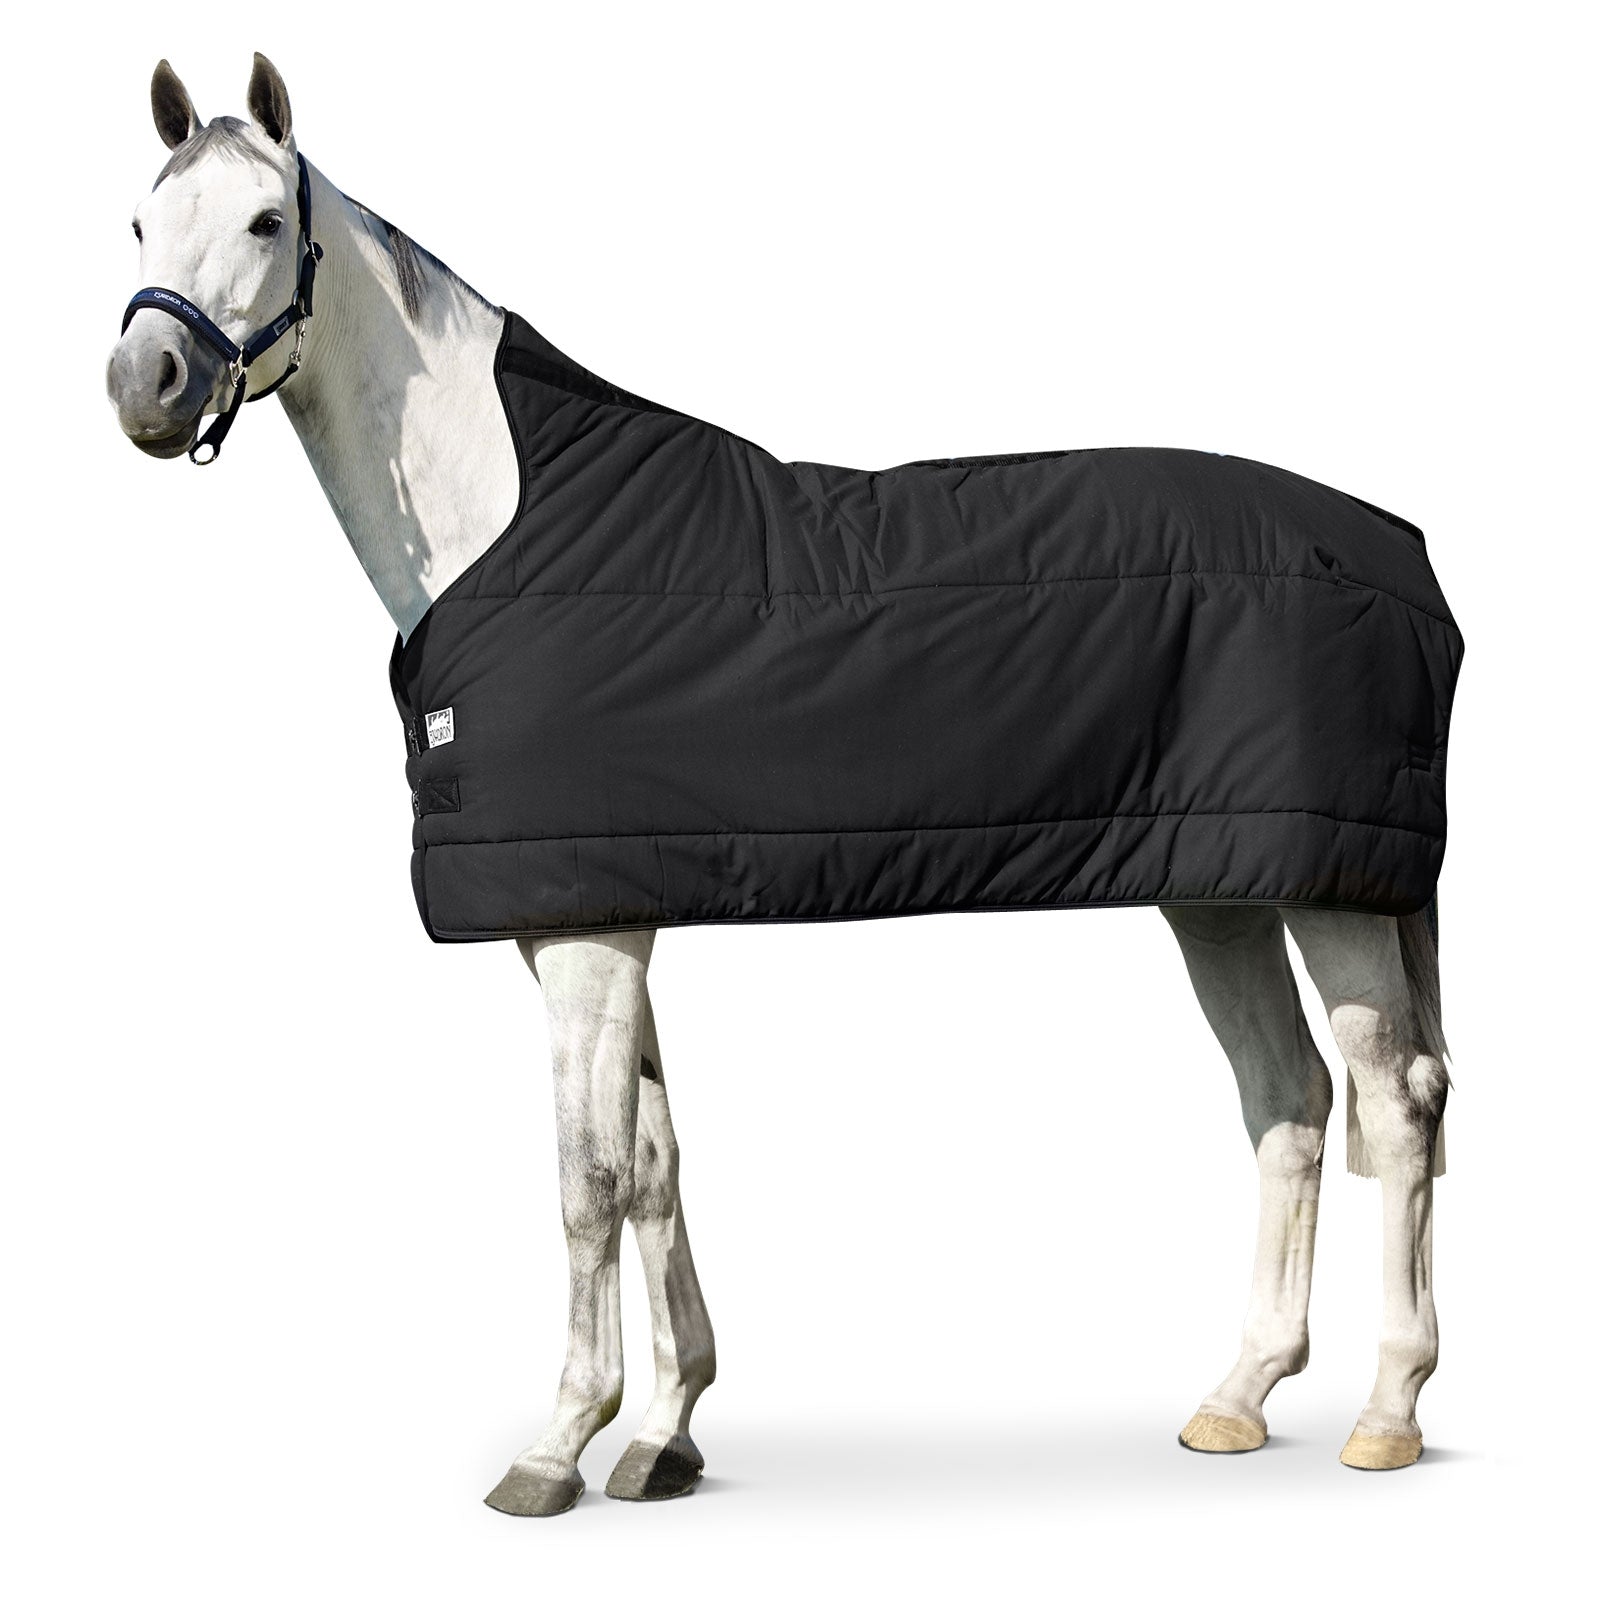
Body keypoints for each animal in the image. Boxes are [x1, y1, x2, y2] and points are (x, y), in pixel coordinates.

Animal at [105, 53, 1454, 1515]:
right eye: (140, 222)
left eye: (261, 221)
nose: (145, 382)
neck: (508, 519)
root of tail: (1401, 555)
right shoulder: (606, 914)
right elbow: (653, 1164)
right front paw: (665, 1434)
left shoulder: (584, 934)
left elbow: (585, 1179)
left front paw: (557, 1444)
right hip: (1224, 891)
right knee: (1290, 1104)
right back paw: (1238, 1397)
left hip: (1338, 890)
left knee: (1394, 1107)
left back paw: (1387, 1412)